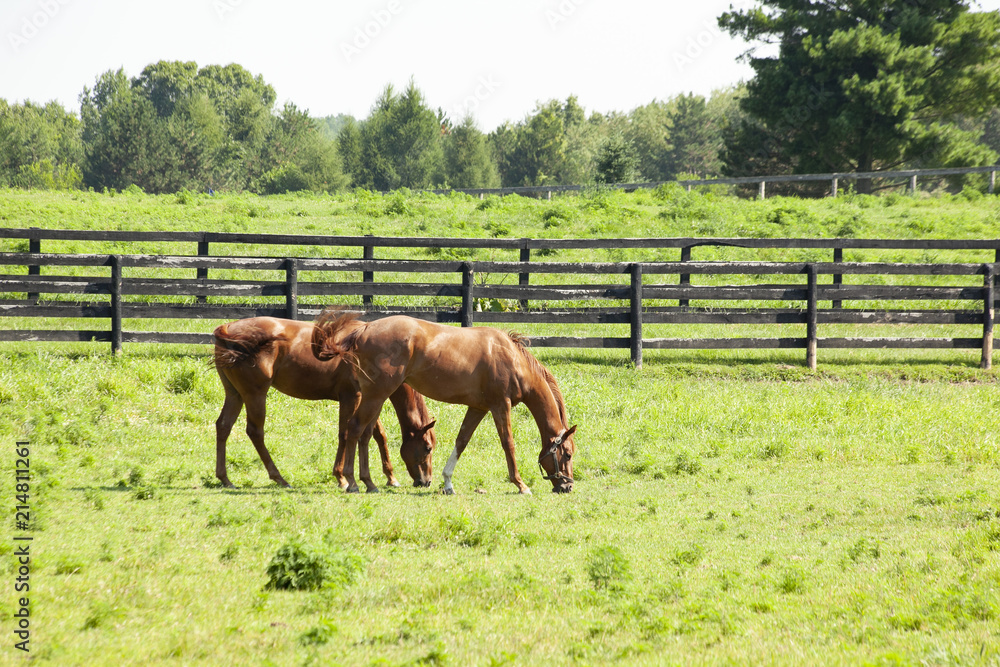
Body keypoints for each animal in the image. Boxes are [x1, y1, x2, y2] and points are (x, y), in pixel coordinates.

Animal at [213, 316, 436, 494]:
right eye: (427, 448)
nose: (426, 482)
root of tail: (228, 327)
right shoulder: (351, 397)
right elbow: (345, 434)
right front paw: (343, 478)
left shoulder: (369, 397)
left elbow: (379, 435)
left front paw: (390, 477)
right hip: (255, 395)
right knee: (255, 432)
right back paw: (280, 478)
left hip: (235, 395)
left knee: (223, 426)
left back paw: (225, 479)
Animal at [312, 310, 580, 494]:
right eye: (567, 454)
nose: (567, 487)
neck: (511, 358)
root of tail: (364, 329)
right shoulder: (499, 406)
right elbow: (508, 444)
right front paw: (521, 484)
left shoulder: (478, 408)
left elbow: (461, 441)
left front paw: (448, 482)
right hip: (375, 395)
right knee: (354, 429)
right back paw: (352, 482)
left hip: (375, 398)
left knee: (365, 434)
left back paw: (368, 482)